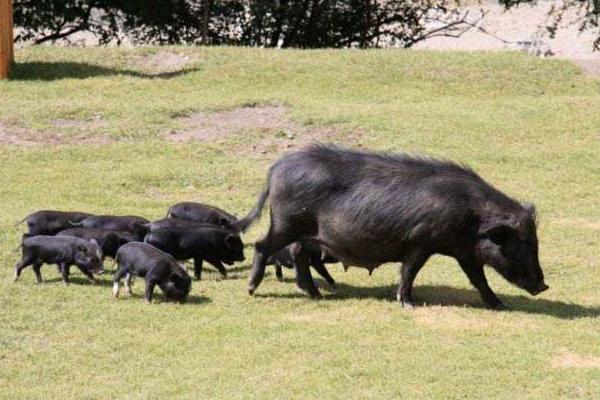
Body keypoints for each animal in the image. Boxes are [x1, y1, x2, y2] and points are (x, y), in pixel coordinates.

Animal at [237, 145, 552, 310]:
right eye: (518, 245)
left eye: (535, 244)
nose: (544, 285)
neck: (471, 218)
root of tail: (275, 170)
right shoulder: (420, 242)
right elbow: (410, 272)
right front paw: (409, 303)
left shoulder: (464, 251)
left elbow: (478, 278)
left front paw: (498, 304)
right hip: (286, 223)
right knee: (262, 245)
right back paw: (251, 290)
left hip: (305, 233)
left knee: (299, 256)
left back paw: (316, 295)